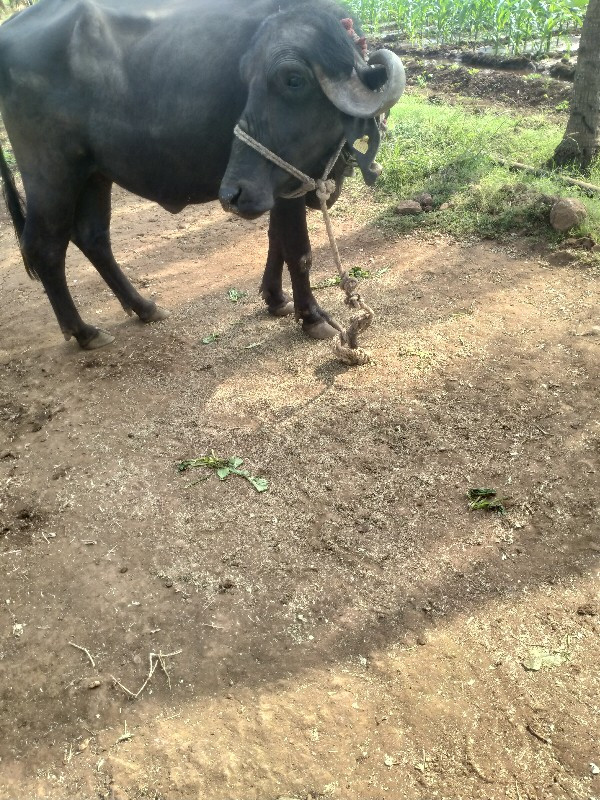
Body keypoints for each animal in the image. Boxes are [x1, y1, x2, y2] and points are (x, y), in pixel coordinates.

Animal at [0, 0, 406, 350]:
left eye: (293, 80)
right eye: (249, 79)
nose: (229, 194)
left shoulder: (271, 183)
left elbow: (274, 238)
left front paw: (275, 298)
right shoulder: (284, 182)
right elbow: (298, 250)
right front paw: (313, 316)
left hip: (93, 172)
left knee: (93, 237)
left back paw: (144, 307)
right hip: (51, 174)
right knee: (45, 246)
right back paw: (84, 331)